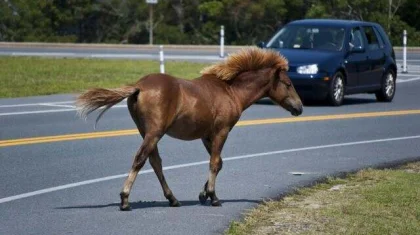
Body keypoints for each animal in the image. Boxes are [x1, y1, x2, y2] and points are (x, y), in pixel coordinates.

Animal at [75, 46, 302, 211]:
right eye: (288, 83)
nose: (299, 107)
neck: (230, 91)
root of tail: (139, 86)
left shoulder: (206, 135)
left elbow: (219, 163)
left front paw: (203, 194)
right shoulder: (222, 131)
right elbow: (215, 163)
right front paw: (213, 197)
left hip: (146, 132)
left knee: (155, 162)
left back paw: (173, 199)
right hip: (154, 133)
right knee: (140, 160)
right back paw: (125, 200)